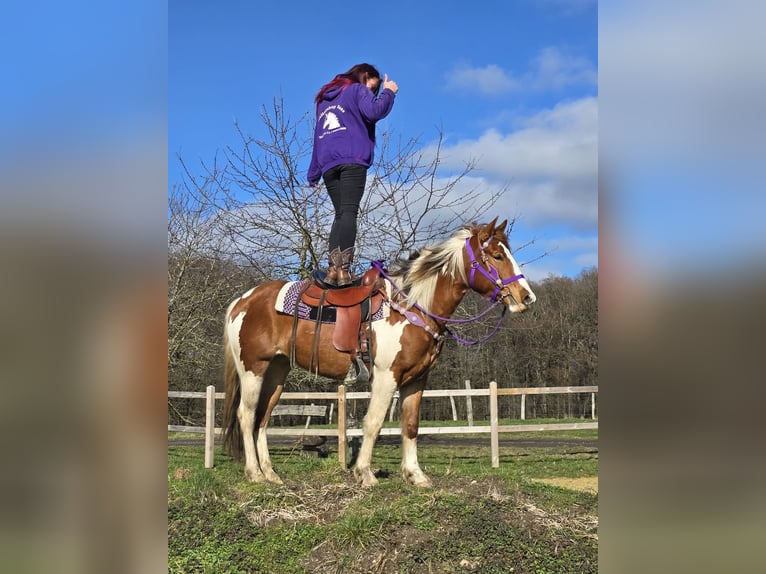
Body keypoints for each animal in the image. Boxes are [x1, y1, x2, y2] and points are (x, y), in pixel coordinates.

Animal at [221, 217, 536, 487]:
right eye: (497, 256)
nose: (526, 297)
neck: (411, 305)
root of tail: (242, 301)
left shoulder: (417, 380)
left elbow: (411, 425)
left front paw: (415, 476)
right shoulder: (387, 377)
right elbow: (373, 423)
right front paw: (365, 473)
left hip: (277, 372)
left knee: (262, 418)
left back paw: (271, 474)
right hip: (253, 369)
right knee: (246, 415)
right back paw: (254, 473)